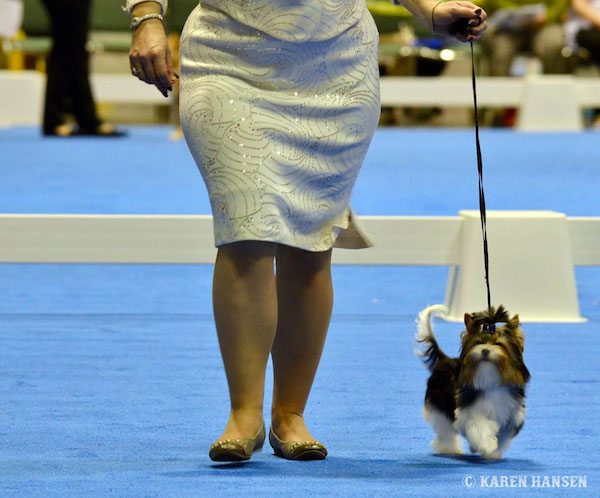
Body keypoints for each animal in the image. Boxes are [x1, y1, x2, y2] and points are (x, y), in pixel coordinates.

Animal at [415, 304, 530, 460]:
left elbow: (503, 435)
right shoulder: (468, 412)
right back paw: (450, 449)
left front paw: (492, 454)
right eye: (478, 342)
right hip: (439, 404)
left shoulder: (512, 415)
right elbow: (479, 426)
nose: (485, 351)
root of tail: (445, 360)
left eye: (498, 344)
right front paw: (488, 446)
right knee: (445, 429)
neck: (489, 380)